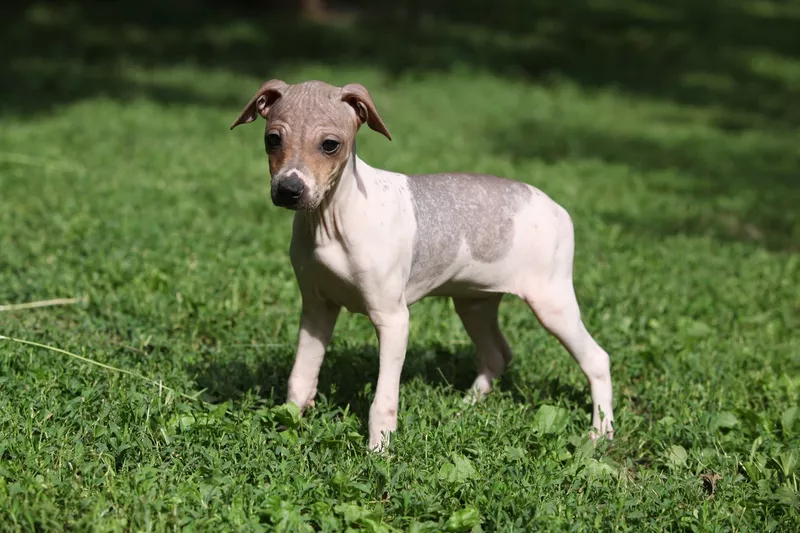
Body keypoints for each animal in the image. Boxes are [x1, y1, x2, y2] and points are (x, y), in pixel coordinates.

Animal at [228, 79, 616, 448]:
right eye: (272, 139)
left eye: (330, 145)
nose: (289, 190)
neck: (330, 220)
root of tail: (558, 208)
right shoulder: (316, 307)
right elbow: (301, 377)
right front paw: (290, 425)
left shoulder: (393, 319)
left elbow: (383, 400)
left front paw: (379, 451)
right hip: (473, 303)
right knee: (497, 353)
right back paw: (465, 407)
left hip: (552, 304)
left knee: (597, 359)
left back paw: (601, 432)